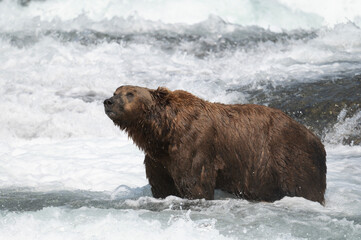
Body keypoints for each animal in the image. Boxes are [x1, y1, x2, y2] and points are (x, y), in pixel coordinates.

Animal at [103, 84, 326, 204]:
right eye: (115, 91)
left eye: (130, 93)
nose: (108, 101)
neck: (163, 133)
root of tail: (316, 137)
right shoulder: (158, 159)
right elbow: (162, 186)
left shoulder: (193, 145)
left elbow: (194, 184)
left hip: (290, 157)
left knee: (304, 187)